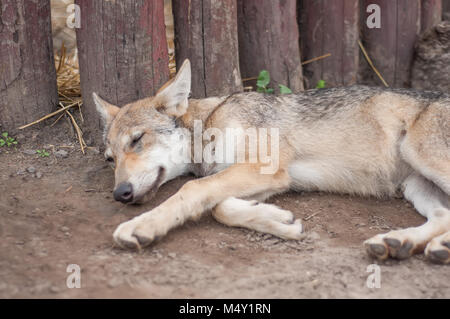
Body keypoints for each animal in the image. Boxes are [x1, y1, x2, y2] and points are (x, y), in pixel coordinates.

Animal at [92, 60, 450, 264]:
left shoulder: (264, 168)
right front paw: (278, 220)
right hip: (416, 185)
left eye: (137, 140)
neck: (210, 123)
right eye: (110, 159)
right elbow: (220, 207)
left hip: (421, 156)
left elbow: (192, 190)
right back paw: (403, 243)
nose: (120, 193)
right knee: (444, 216)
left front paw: (141, 227)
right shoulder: (272, 178)